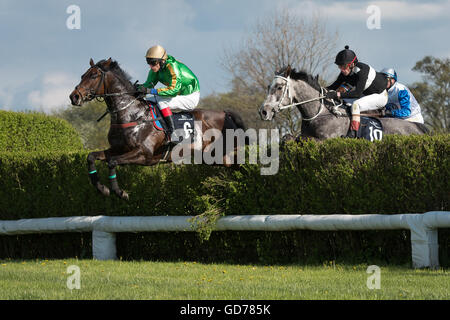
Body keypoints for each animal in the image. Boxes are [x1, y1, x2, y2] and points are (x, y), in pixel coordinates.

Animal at [69, 57, 246, 198]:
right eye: (82, 75)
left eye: (93, 75)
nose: (74, 97)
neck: (132, 114)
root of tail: (225, 113)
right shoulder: (118, 149)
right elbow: (91, 157)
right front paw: (102, 189)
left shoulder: (144, 154)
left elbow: (112, 162)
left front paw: (120, 192)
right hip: (213, 157)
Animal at [258, 65, 428, 139]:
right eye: (268, 87)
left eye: (279, 87)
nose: (263, 111)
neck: (320, 114)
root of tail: (418, 127)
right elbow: (289, 138)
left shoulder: (325, 140)